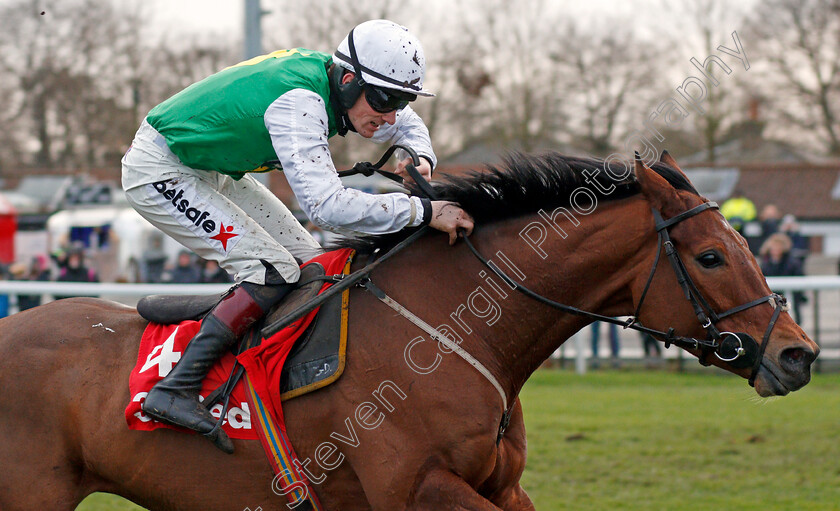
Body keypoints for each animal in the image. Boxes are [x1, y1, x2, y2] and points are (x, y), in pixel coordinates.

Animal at [0, 151, 816, 508]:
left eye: (747, 244)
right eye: (711, 256)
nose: (799, 353)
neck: (452, 331)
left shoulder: (502, 487)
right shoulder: (417, 487)